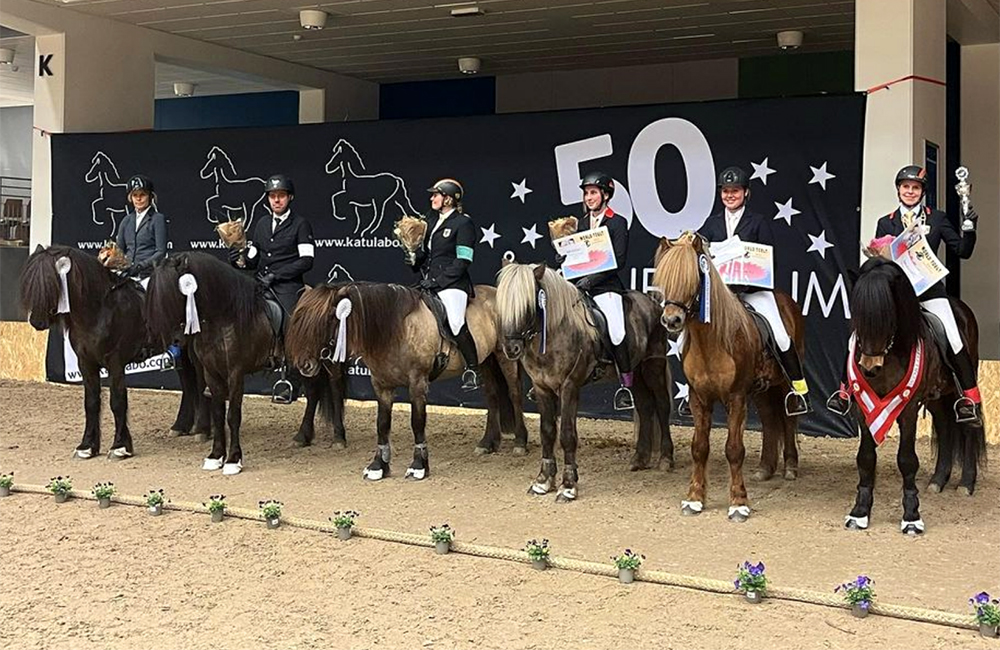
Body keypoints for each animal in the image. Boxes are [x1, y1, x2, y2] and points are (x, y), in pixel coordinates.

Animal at [286, 280, 528, 478]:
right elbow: (382, 424)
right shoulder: (381, 385)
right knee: (492, 395)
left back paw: (520, 442)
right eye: (298, 318)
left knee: (515, 393)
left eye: (327, 318)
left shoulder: (417, 383)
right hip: (485, 359)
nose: (304, 365)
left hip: (504, 355)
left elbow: (417, 422)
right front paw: (378, 466)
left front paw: (419, 465)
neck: (395, 328)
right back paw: (487, 443)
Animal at [496, 260, 676, 502]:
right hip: (635, 370)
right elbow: (547, 431)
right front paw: (543, 481)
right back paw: (639, 459)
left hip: (652, 367)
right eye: (502, 304)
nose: (511, 349)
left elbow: (567, 435)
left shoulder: (569, 386)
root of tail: (654, 304)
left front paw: (568, 486)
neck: (555, 330)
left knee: (662, 406)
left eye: (527, 304)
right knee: (645, 407)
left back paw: (666, 459)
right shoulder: (542, 387)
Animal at [648, 230, 804, 520]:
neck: (712, 342)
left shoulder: (736, 397)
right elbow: (700, 447)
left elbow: (734, 449)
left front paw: (739, 503)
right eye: (663, 280)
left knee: (788, 418)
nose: (671, 321)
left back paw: (790, 466)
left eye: (692, 278)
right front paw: (695, 498)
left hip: (782, 382)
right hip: (762, 390)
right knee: (769, 419)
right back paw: (765, 468)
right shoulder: (699, 398)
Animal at [844, 256, 984, 536]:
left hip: (961, 386)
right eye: (857, 314)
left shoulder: (908, 408)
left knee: (967, 427)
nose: (869, 368)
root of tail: (961, 306)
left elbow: (907, 459)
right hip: (937, 397)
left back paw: (966, 483)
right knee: (945, 425)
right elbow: (865, 457)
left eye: (889, 315)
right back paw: (938, 481)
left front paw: (911, 517)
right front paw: (860, 512)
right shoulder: (863, 408)